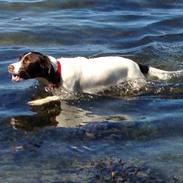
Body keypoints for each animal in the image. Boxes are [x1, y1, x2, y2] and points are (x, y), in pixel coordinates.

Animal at [8, 51, 183, 106]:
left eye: (27, 61)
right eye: (19, 58)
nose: (9, 67)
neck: (57, 72)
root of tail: (138, 64)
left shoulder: (71, 94)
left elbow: (51, 98)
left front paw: (36, 102)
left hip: (135, 83)